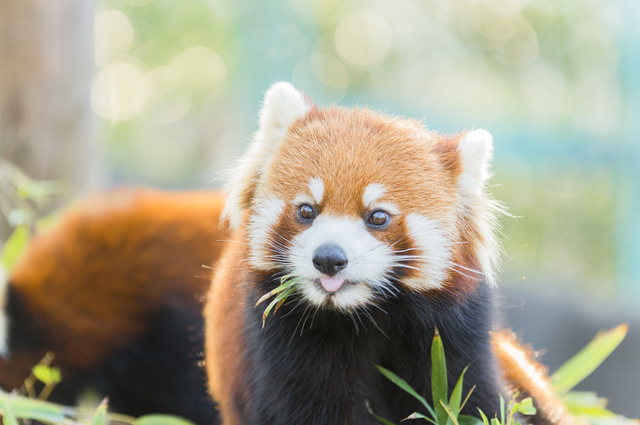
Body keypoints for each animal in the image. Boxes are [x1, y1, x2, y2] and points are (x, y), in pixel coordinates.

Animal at [204, 83, 576, 424]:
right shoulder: (287, 349)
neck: (364, 316)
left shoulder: (454, 338)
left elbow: (472, 400)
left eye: (378, 217)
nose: (328, 259)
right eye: (306, 211)